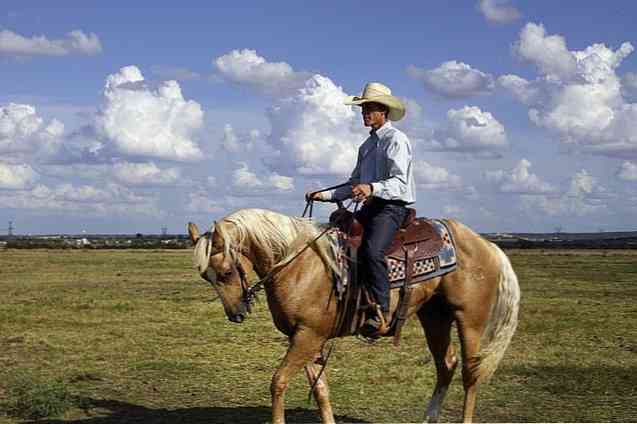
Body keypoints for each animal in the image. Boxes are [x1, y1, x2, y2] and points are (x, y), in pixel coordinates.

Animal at [186, 207, 520, 422]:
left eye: (227, 272)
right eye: (206, 276)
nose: (236, 314)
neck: (299, 265)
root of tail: (488, 244)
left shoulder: (308, 336)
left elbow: (278, 382)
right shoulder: (306, 339)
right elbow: (321, 390)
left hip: (469, 319)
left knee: (470, 373)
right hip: (434, 316)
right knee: (446, 365)